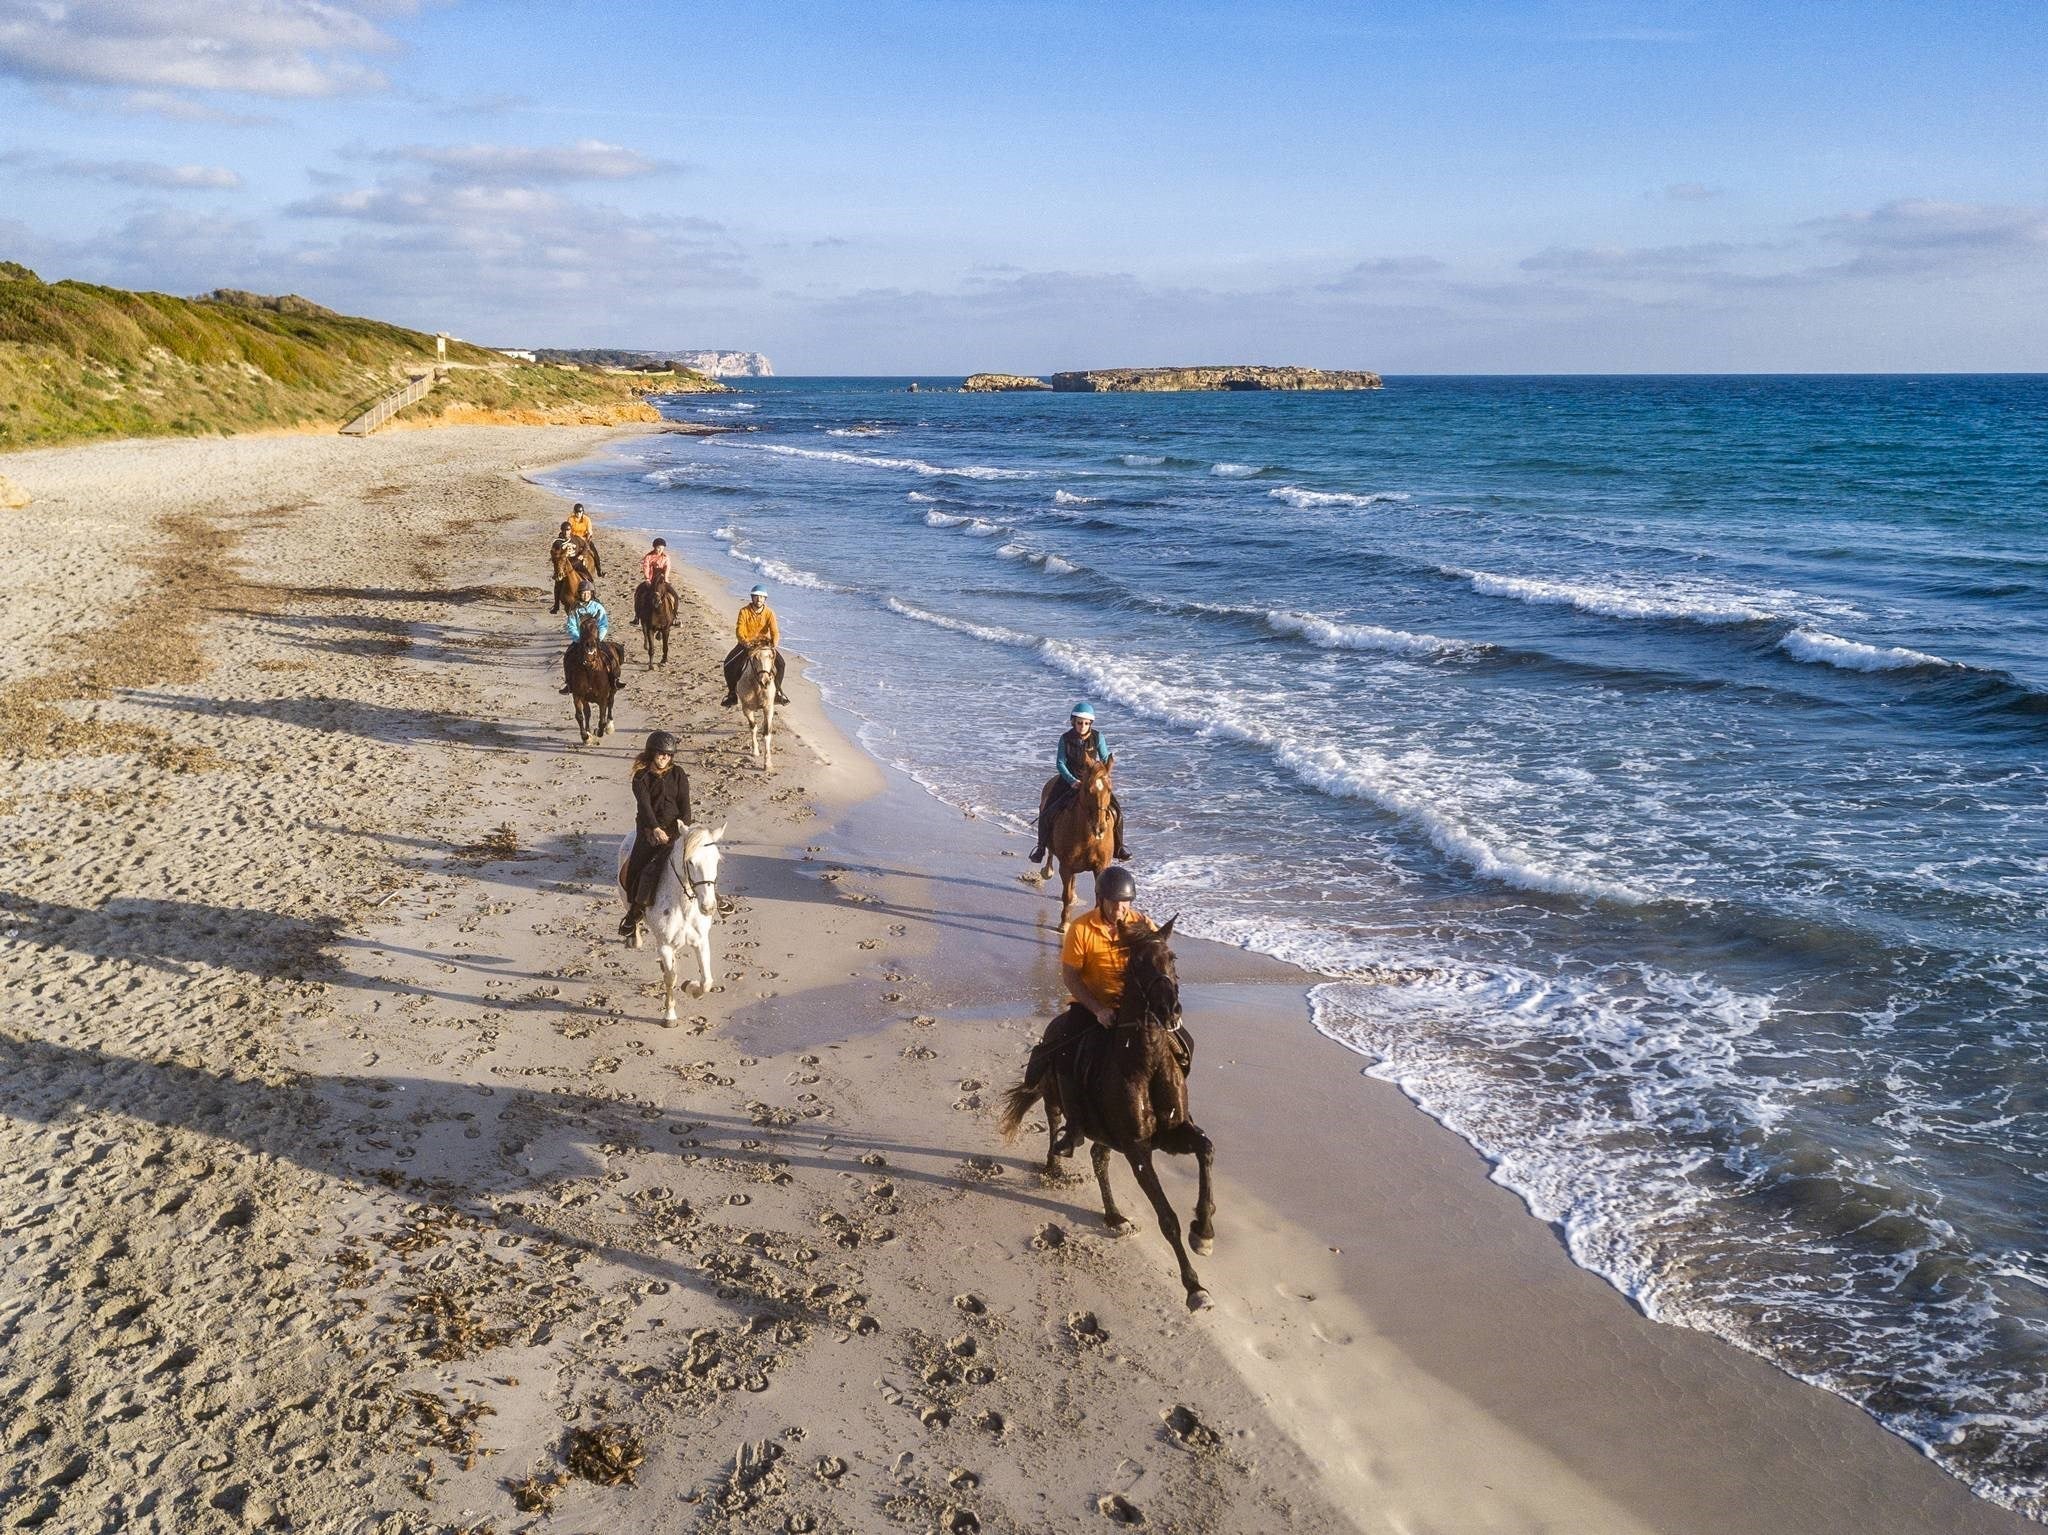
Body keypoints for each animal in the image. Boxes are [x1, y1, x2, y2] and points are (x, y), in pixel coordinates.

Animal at [566, 615, 616, 745]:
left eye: (596, 627)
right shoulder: (578, 696)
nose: (590, 644)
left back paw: (609, 726)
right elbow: (580, 715)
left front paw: (599, 731)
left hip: (612, 690)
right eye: (581, 627)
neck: (590, 668)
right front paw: (586, 736)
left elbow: (602, 718)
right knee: (587, 713)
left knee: (610, 704)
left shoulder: (603, 696)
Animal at [617, 822, 726, 1023]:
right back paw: (633, 937)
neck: (683, 906)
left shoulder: (701, 941)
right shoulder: (665, 945)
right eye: (690, 862)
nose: (708, 907)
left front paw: (690, 987)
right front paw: (669, 1015)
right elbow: (670, 978)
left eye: (716, 860)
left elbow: (706, 981)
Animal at [997, 917, 1217, 1310]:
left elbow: (1206, 1149)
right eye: (1138, 962)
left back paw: (1114, 1216)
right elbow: (1167, 1217)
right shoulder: (1137, 1148)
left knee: (1099, 1157)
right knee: (1057, 1125)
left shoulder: (1172, 1134)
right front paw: (1194, 1287)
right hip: (1056, 1097)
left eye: (1172, 957)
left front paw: (1203, 1234)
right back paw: (1055, 1163)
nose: (1171, 1011)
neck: (1145, 1062)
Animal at [1036, 753, 1117, 927]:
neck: (1088, 837)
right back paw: (1047, 871)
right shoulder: (1066, 866)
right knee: (1050, 853)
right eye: (1088, 789)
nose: (1100, 827)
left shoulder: (1100, 867)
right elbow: (1065, 894)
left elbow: (1099, 899)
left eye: (1109, 789)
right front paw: (1064, 924)